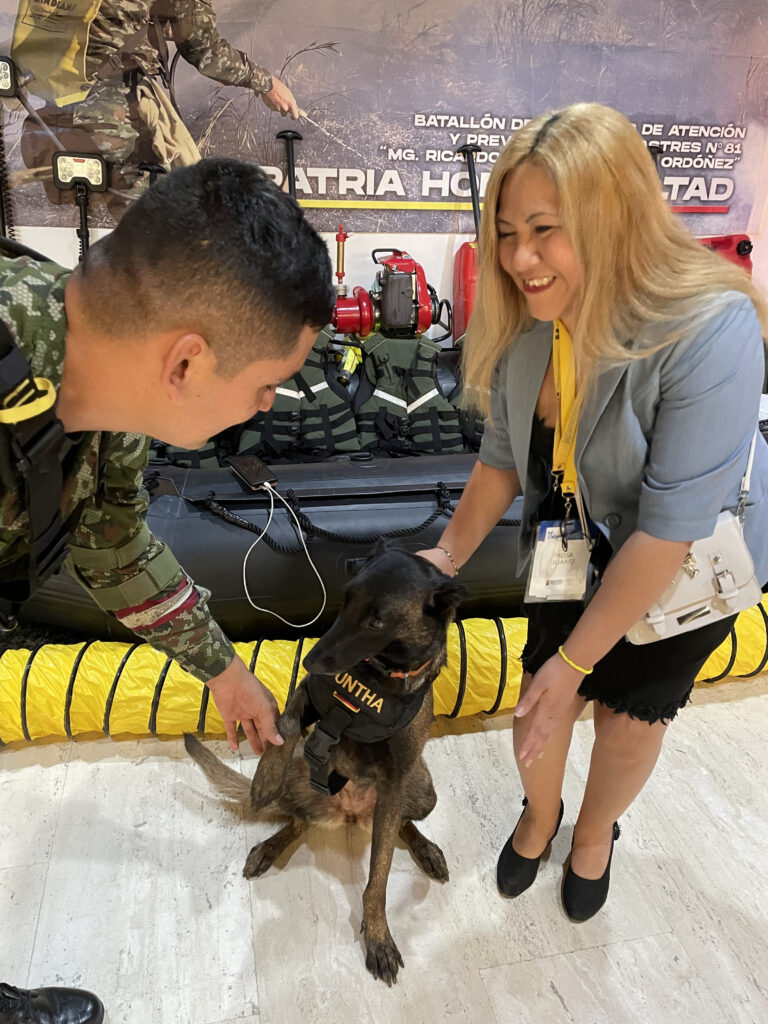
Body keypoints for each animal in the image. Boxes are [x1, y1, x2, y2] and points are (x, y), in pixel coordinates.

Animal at [183, 544, 466, 983]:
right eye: (345, 599)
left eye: (376, 620)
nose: (310, 659)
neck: (377, 676)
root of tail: (349, 813)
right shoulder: (308, 697)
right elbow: (284, 725)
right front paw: (263, 779)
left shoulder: (397, 780)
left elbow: (379, 875)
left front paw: (378, 935)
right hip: (300, 778)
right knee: (297, 820)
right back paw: (268, 846)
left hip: (423, 792)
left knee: (401, 823)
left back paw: (426, 849)